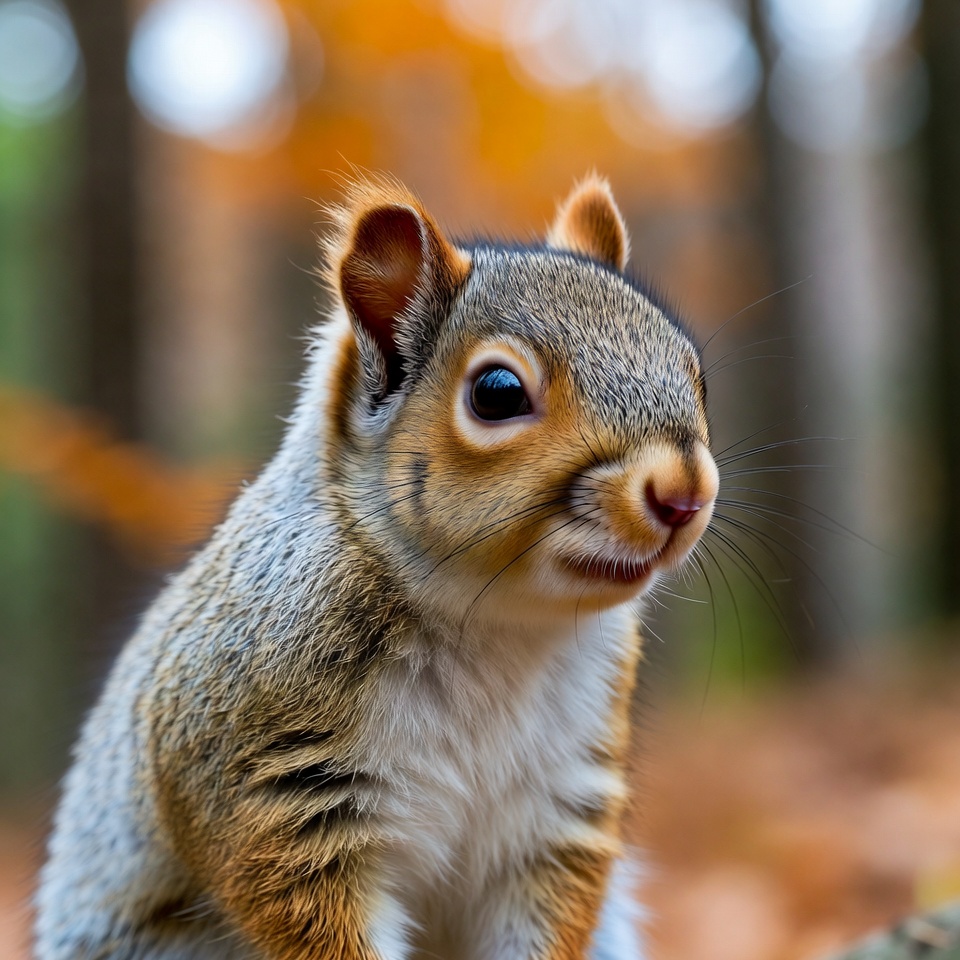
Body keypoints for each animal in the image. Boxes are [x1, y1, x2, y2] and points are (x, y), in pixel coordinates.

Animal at [34, 173, 719, 960]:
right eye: (497, 393)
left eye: (695, 373)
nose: (685, 494)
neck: (494, 628)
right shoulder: (269, 788)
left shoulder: (556, 809)